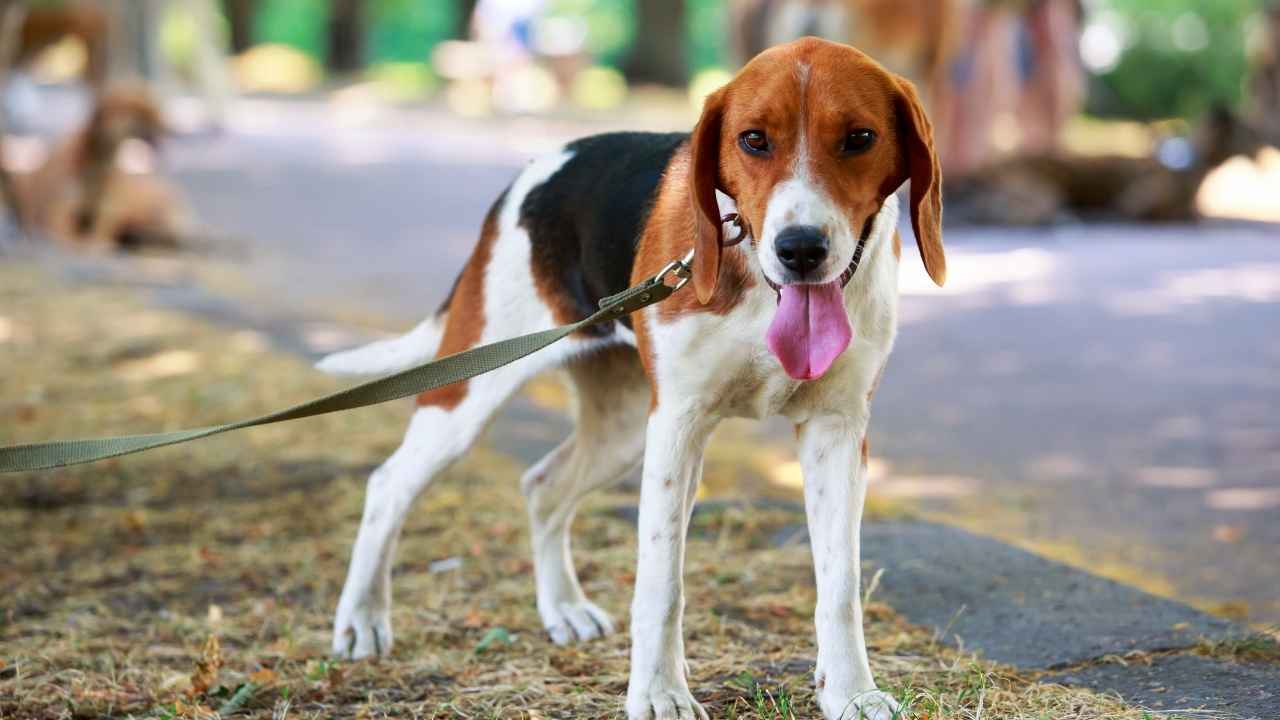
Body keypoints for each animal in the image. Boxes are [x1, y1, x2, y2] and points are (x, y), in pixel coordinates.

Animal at [316, 39, 947, 717]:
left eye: (860, 138)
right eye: (754, 140)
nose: (800, 249)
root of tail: (531, 175)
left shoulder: (836, 430)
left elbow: (839, 583)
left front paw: (852, 693)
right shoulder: (678, 425)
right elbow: (661, 581)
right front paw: (660, 693)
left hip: (620, 430)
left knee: (543, 486)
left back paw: (563, 608)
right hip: (470, 397)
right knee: (388, 485)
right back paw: (361, 619)